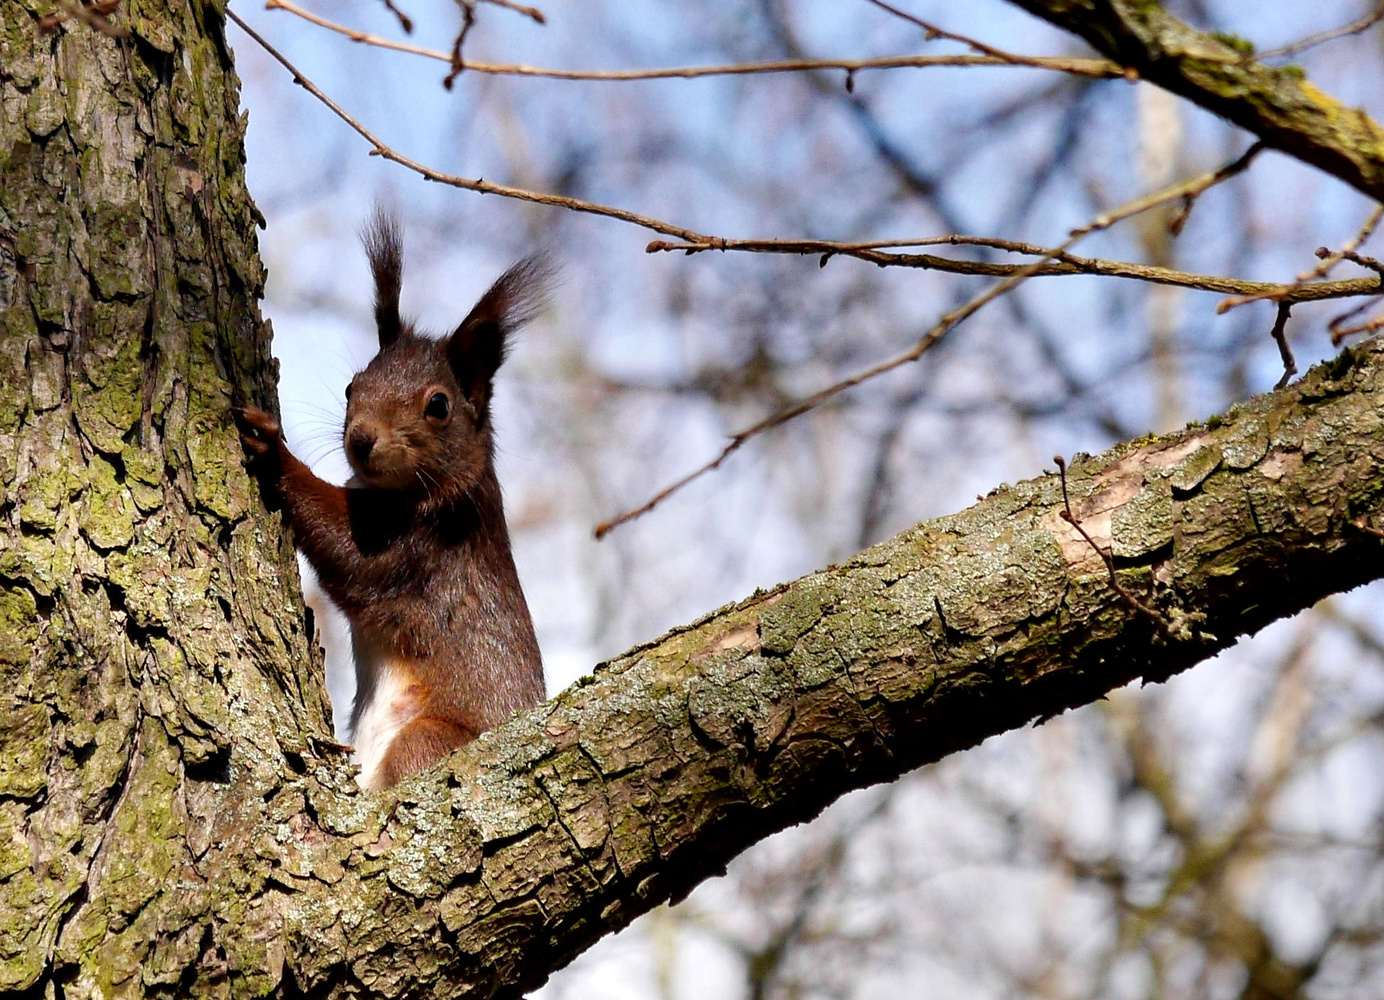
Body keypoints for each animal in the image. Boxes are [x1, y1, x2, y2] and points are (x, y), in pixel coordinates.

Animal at [235, 215, 542, 796]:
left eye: (439, 405)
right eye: (352, 385)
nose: (361, 439)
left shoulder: (425, 554)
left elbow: (351, 558)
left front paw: (275, 452)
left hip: (425, 739)